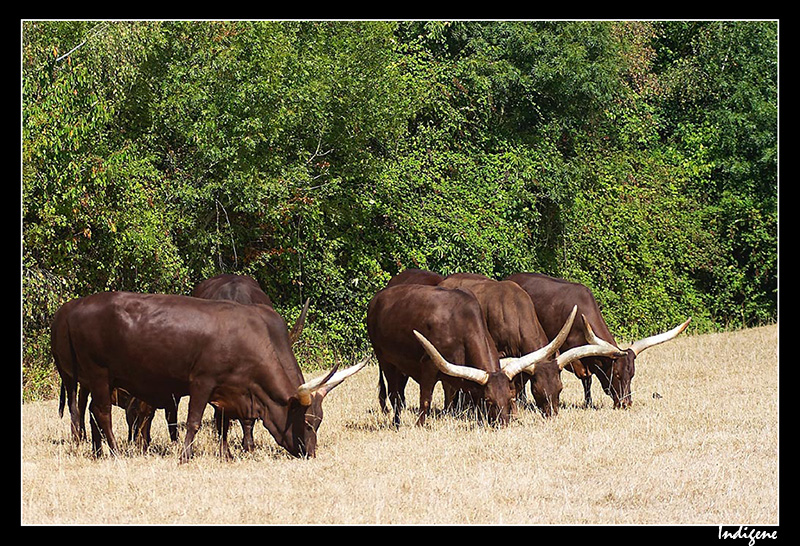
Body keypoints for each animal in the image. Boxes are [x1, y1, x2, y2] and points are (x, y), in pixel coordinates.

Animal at [50, 288, 362, 460]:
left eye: (319, 421)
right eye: (305, 421)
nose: (309, 453)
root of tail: (73, 307)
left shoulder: (227, 392)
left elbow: (223, 423)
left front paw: (227, 455)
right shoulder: (201, 382)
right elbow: (194, 421)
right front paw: (185, 457)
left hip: (98, 380)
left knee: (92, 412)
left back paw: (98, 452)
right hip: (97, 375)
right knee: (101, 413)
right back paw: (114, 451)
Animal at [364, 282, 580, 428]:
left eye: (560, 389)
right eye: (489, 401)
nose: (503, 424)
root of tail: (377, 297)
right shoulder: (429, 366)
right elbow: (425, 399)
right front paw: (420, 425)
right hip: (385, 360)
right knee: (394, 394)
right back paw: (397, 423)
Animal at [506, 270, 688, 406]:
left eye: (632, 375)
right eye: (617, 375)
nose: (626, 404)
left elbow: (588, 381)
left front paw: (588, 403)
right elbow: (585, 379)